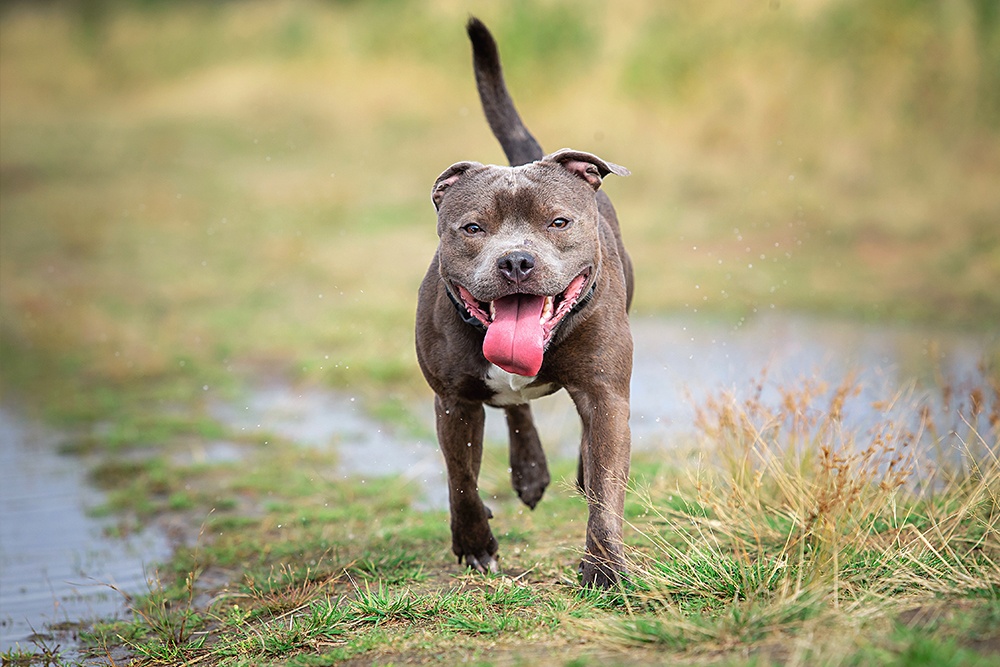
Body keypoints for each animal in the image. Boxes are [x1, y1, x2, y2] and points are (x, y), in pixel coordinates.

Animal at [414, 18, 632, 588]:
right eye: (472, 228)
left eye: (558, 221)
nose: (515, 261)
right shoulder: (454, 400)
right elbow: (461, 480)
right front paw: (475, 545)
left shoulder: (606, 393)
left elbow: (606, 488)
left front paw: (604, 569)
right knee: (514, 406)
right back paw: (529, 469)